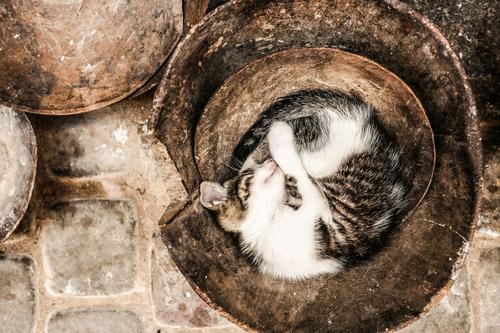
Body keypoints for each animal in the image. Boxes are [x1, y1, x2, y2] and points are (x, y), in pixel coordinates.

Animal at [199, 89, 410, 280]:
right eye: (249, 178)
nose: (270, 163)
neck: (263, 227)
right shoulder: (317, 206)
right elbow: (296, 174)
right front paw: (278, 136)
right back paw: (278, 130)